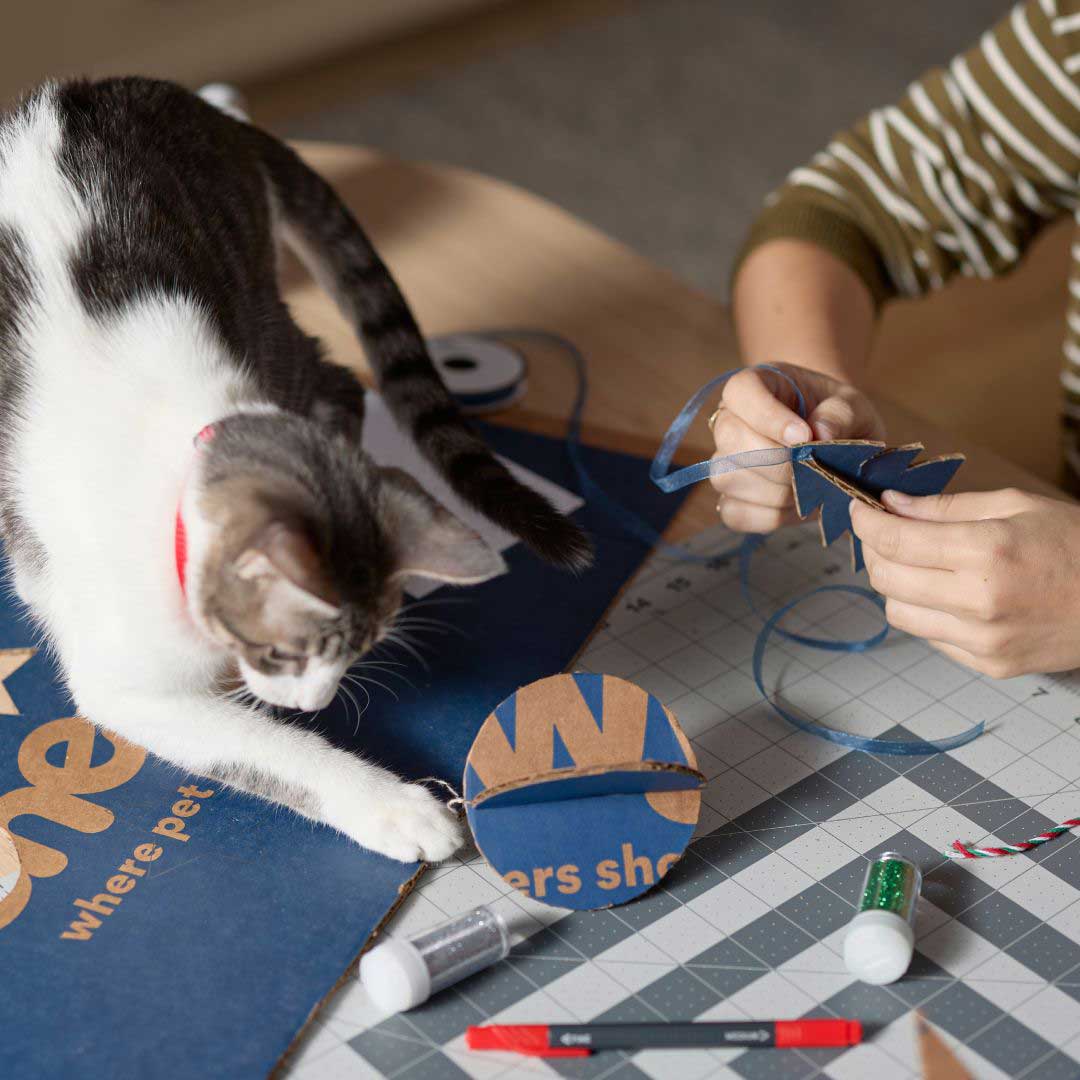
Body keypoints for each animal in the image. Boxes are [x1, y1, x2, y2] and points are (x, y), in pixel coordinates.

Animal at [0, 78, 591, 859]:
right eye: (285, 653)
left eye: (361, 648)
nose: (320, 700)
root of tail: (192, 102)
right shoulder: (123, 678)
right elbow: (262, 748)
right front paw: (394, 806)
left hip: (251, 294)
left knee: (337, 377)